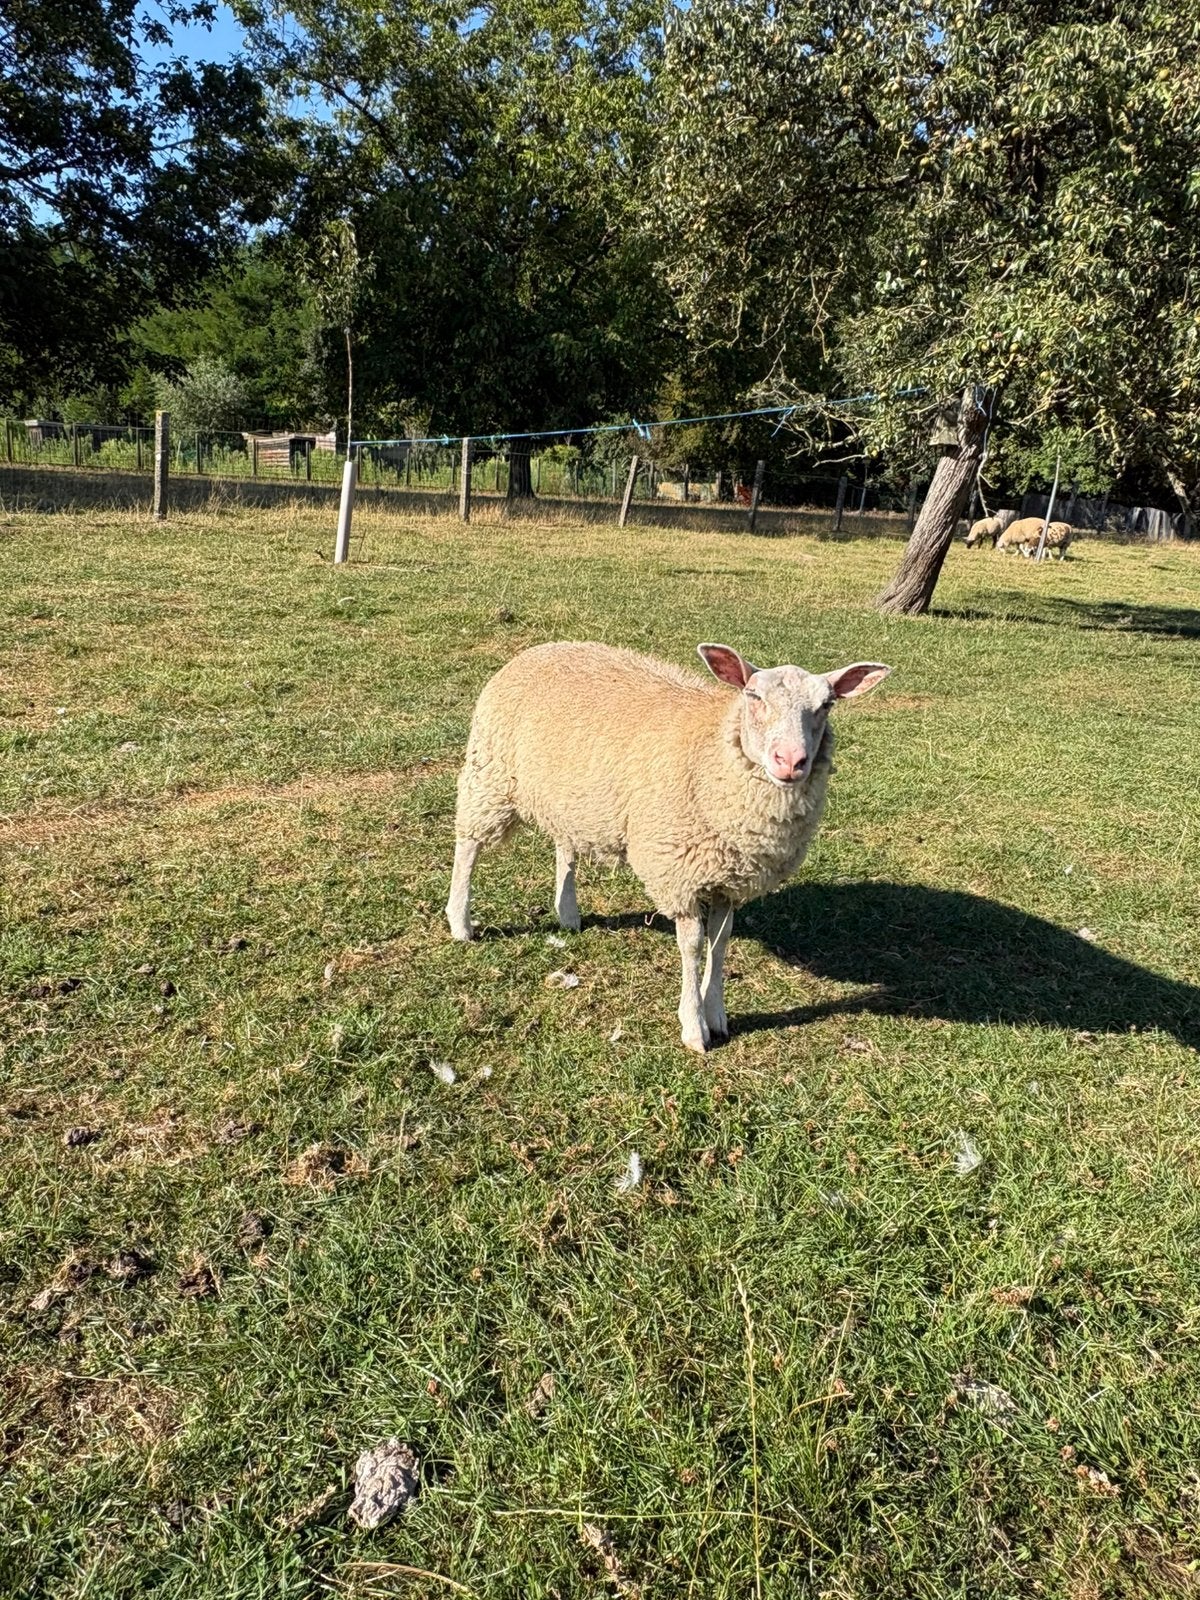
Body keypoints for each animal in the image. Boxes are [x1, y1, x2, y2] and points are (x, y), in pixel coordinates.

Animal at [445, 641, 891, 1053]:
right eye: (753, 696)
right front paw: (694, 1027)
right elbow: (692, 946)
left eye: (826, 705)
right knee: (468, 844)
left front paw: (717, 1014)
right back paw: (460, 922)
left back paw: (567, 912)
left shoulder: (730, 878)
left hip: (568, 796)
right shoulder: (680, 873)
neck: (711, 757)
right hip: (491, 775)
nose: (790, 760)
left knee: (564, 844)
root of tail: (542, 647)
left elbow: (721, 942)